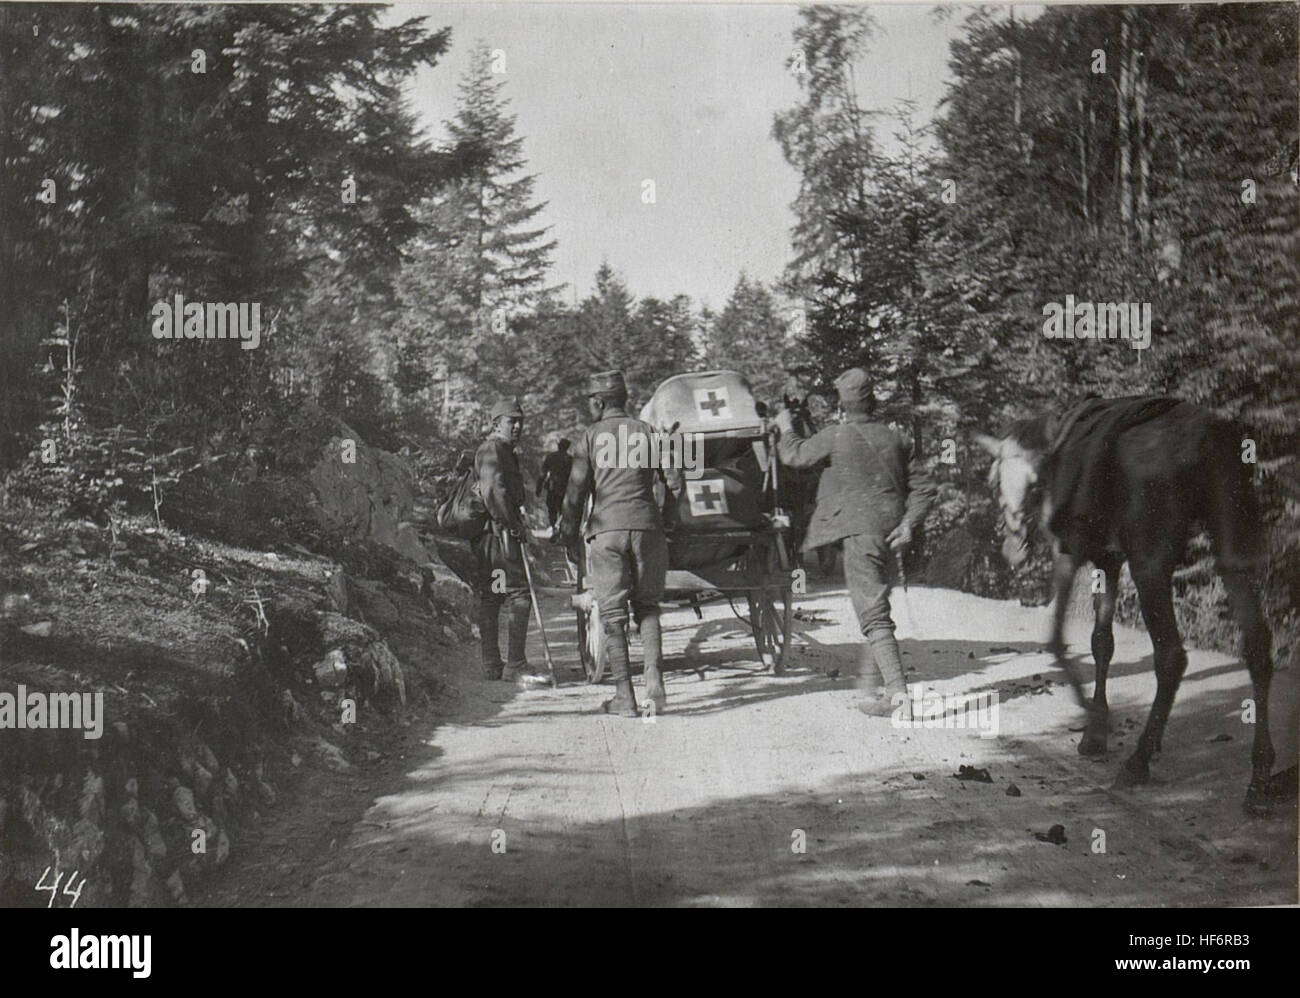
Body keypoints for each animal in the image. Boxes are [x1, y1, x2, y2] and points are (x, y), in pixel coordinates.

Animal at [977, 395, 1268, 816]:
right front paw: (1095, 732)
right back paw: (1260, 778)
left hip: (1150, 563)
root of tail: (1210, 435)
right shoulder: (1109, 559)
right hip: (1234, 548)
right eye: (998, 480)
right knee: (1258, 645)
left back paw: (1138, 760)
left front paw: (1092, 715)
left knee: (1171, 655)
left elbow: (1057, 640)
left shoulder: (1071, 552)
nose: (1014, 549)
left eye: (1034, 486)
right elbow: (1102, 642)